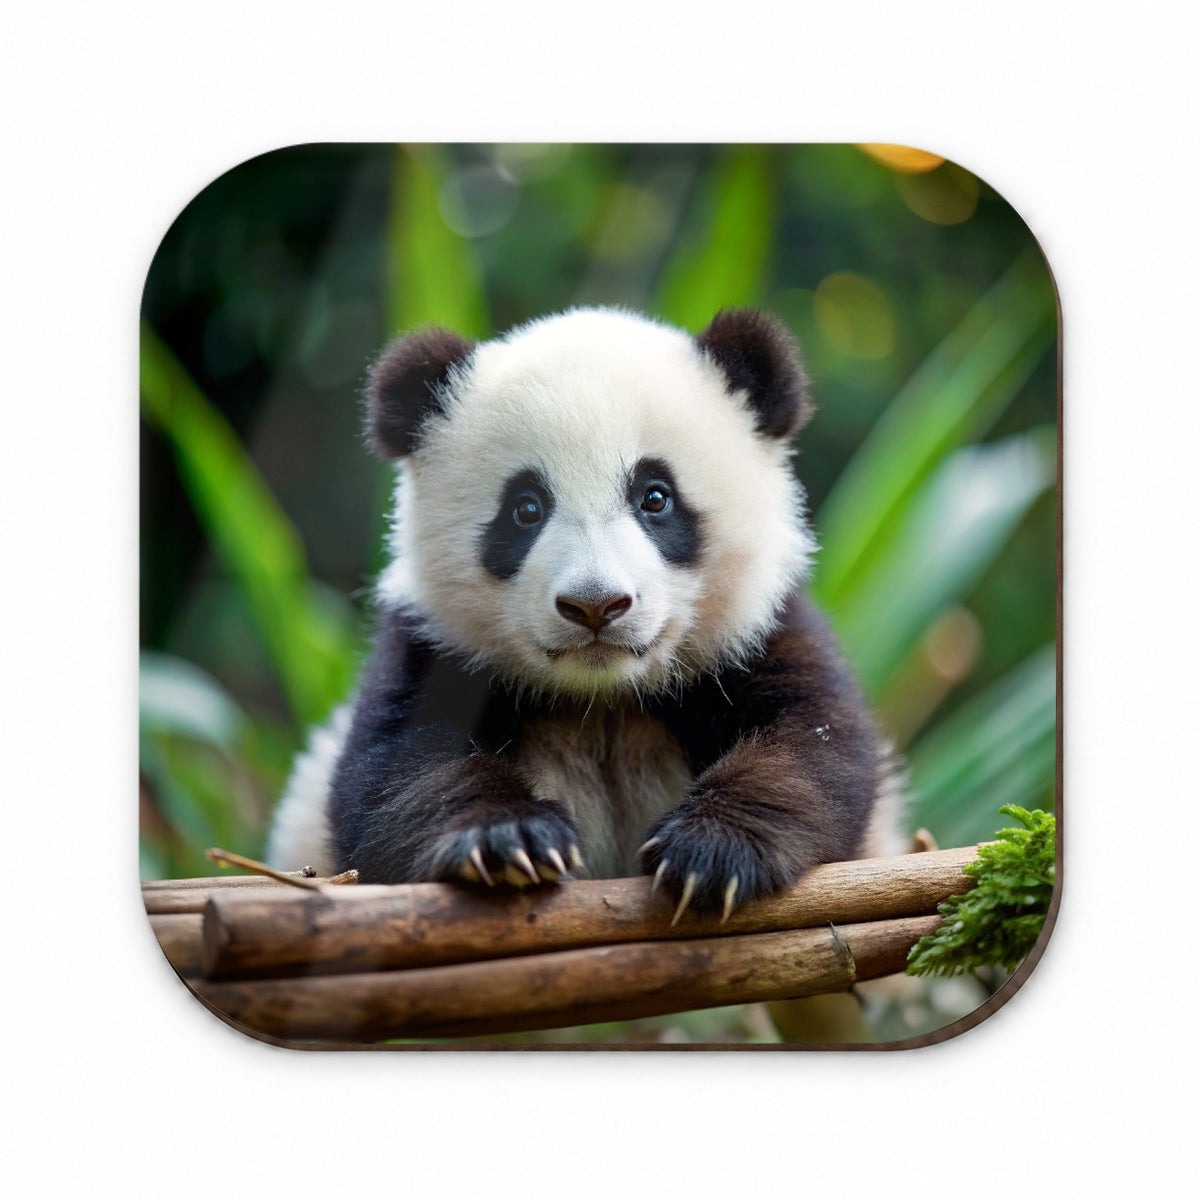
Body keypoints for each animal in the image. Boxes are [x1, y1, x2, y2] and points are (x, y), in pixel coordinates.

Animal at [267, 306, 905, 922]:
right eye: (525, 508)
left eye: (655, 497)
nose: (595, 604)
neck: (604, 698)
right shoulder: (435, 648)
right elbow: (398, 776)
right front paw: (509, 840)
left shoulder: (758, 631)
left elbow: (811, 746)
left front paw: (713, 852)